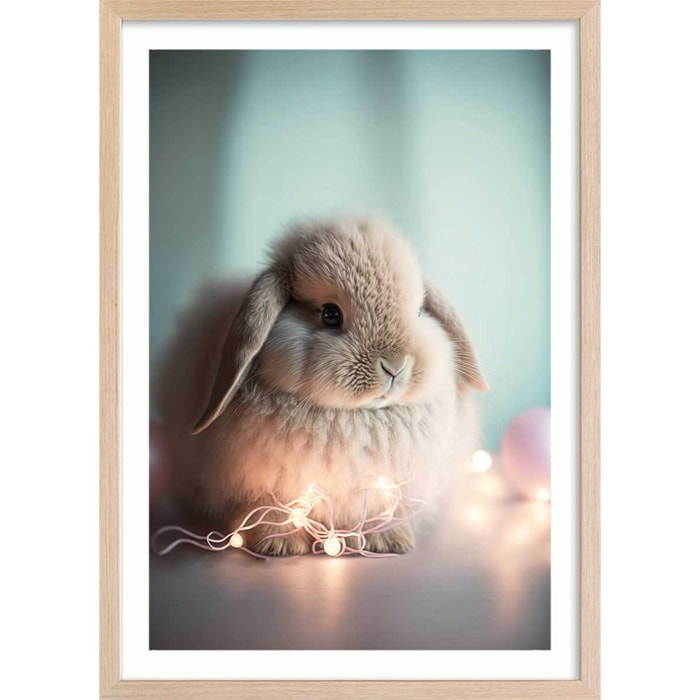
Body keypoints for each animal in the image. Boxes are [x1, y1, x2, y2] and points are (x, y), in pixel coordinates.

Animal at [155, 216, 488, 556]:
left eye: (419, 311)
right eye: (330, 314)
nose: (394, 366)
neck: (354, 417)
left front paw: (388, 541)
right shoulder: (266, 485)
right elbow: (273, 508)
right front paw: (279, 545)